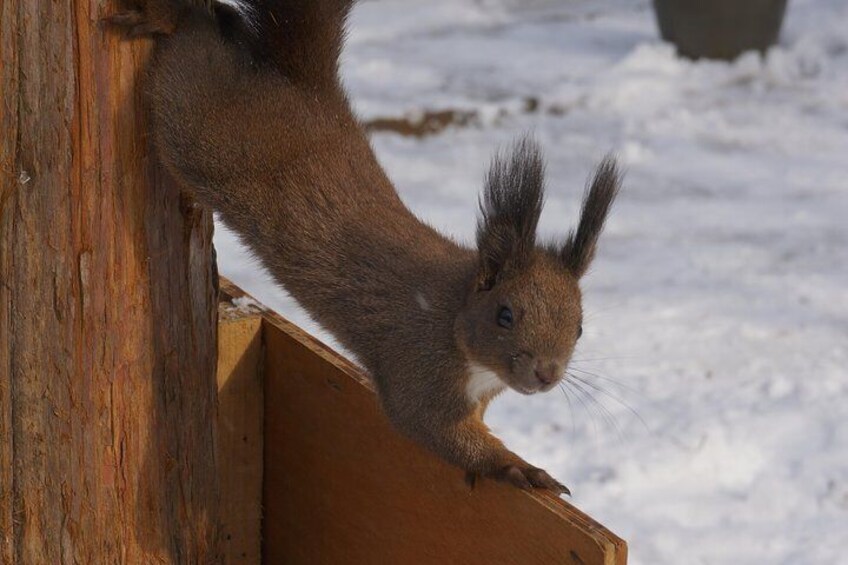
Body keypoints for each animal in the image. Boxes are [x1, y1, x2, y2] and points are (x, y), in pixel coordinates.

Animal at [109, 0, 620, 494]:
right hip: (198, 125)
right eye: (505, 315)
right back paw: (173, 15)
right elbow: (431, 427)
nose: (547, 374)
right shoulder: (418, 363)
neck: (458, 321)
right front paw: (516, 468)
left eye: (578, 328)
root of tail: (304, 87)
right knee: (192, 49)